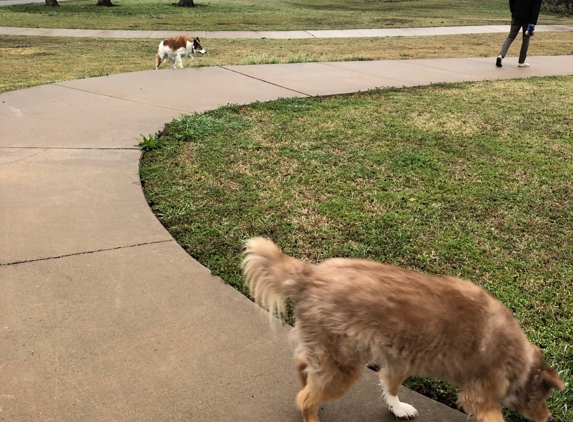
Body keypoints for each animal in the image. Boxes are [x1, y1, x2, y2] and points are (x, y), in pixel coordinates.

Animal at [240, 237, 564, 422]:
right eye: (542, 398)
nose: (548, 418)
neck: (519, 359)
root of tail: (308, 274)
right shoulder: (479, 394)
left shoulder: (400, 359)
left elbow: (391, 384)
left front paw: (397, 408)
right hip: (344, 366)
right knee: (305, 399)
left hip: (331, 353)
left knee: (302, 364)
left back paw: (304, 379)